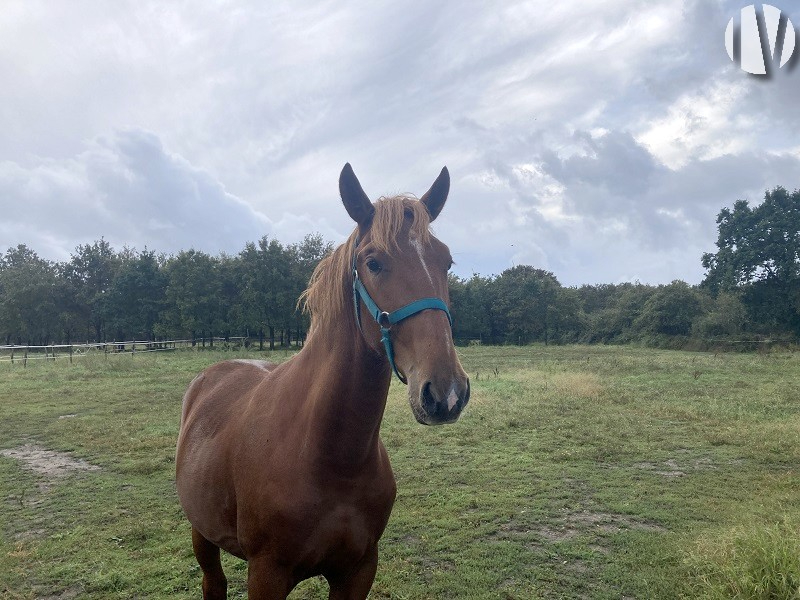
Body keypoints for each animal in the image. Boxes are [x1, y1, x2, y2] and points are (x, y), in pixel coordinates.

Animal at [177, 162, 468, 596]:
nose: (446, 392)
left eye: (446, 261)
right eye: (373, 262)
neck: (330, 456)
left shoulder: (358, 570)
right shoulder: (266, 575)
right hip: (203, 534)